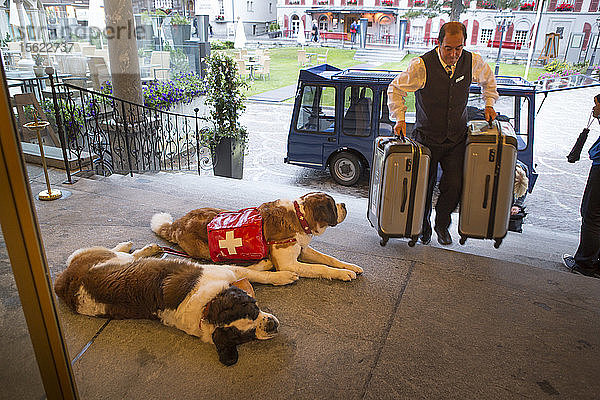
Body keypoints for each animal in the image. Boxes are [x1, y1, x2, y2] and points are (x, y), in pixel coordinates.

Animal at [54, 241, 298, 366]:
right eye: (246, 336)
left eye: (252, 310)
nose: (270, 326)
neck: (206, 311)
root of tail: (64, 283)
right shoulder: (225, 272)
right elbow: (255, 273)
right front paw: (280, 274)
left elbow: (251, 272)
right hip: (111, 258)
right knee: (127, 254)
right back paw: (142, 248)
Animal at [152, 191, 364, 282]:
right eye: (334, 204)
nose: (344, 205)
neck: (299, 215)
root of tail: (178, 223)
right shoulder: (289, 264)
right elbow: (321, 267)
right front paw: (342, 274)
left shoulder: (302, 249)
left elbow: (329, 258)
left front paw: (350, 266)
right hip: (205, 251)